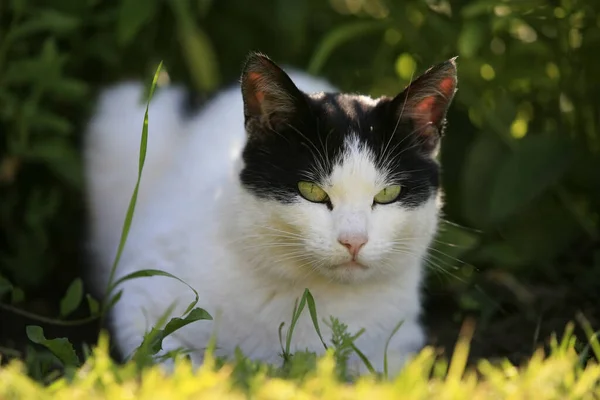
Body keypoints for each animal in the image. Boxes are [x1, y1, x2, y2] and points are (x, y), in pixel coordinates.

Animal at [84, 52, 458, 376]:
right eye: (311, 191)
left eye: (388, 194)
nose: (353, 241)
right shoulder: (141, 299)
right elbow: (164, 362)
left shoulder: (399, 345)